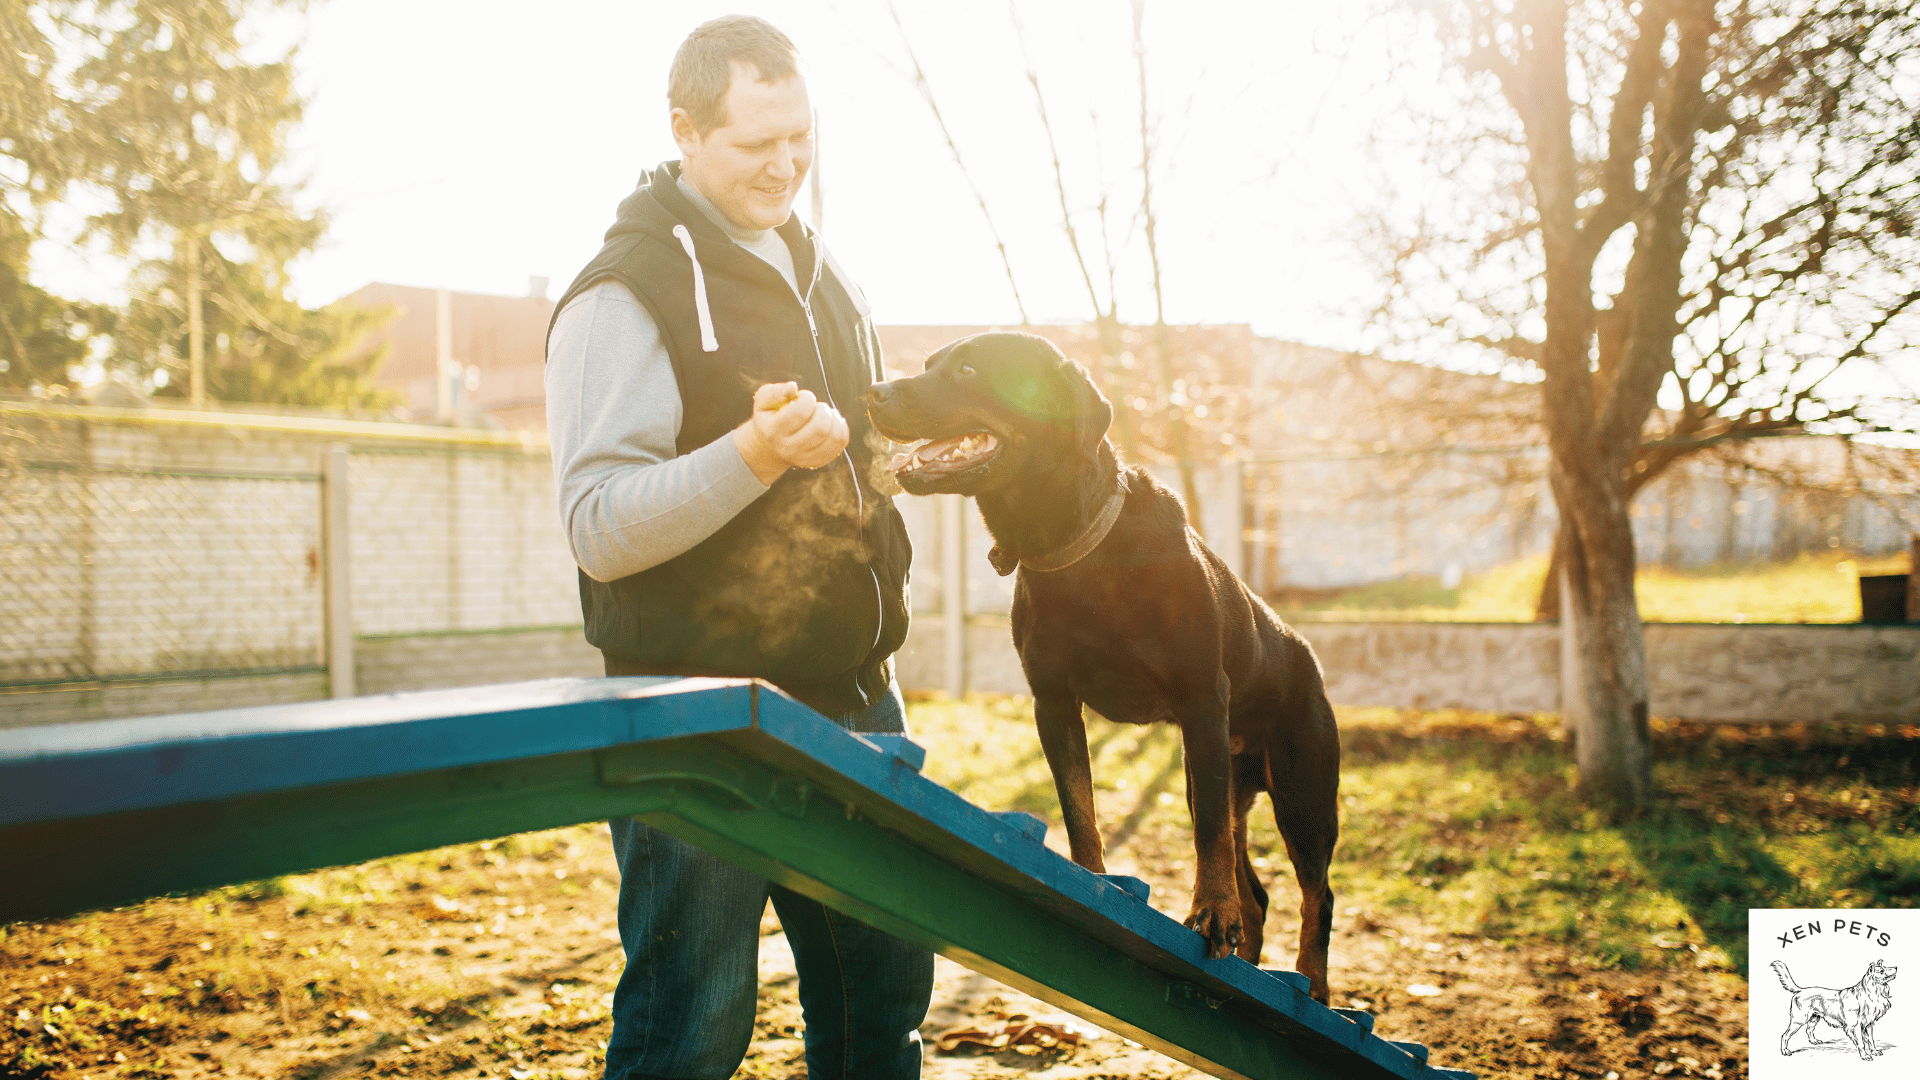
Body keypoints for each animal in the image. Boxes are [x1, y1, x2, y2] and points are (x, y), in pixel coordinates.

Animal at [867, 330, 1336, 999]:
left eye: (968, 370)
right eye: (931, 364)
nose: (873, 393)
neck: (1078, 548)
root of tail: (1305, 655)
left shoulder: (1201, 699)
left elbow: (1208, 837)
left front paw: (1210, 910)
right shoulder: (1054, 703)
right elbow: (1078, 807)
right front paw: (1090, 883)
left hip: (1298, 788)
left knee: (1315, 891)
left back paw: (1311, 985)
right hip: (1222, 770)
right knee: (1260, 891)